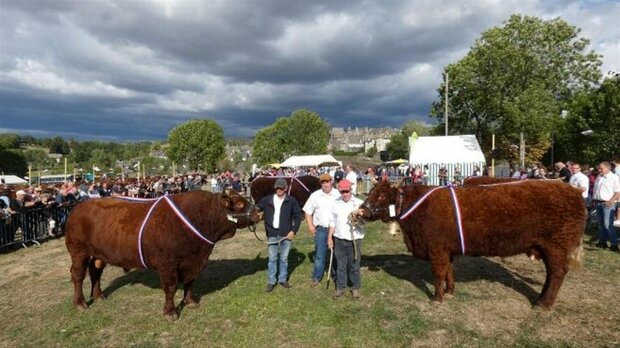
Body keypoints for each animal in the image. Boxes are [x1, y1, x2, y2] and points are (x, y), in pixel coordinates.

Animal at [66, 189, 260, 320]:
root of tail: (78, 207)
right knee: (78, 276)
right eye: (240, 204)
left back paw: (99, 296)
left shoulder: (192, 262)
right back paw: (81, 303)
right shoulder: (168, 264)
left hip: (99, 253)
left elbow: (190, 282)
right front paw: (170, 312)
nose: (259, 212)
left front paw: (191, 302)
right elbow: (171, 287)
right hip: (78, 251)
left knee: (95, 271)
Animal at [358, 179, 588, 308]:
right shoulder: (447, 250)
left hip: (557, 247)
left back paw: (543, 304)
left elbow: (438, 273)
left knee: (557, 273)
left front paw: (437, 298)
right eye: (370, 192)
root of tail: (574, 190)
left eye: (381, 195)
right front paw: (450, 292)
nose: (361, 211)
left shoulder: (436, 249)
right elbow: (448, 271)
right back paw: (541, 298)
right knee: (551, 274)